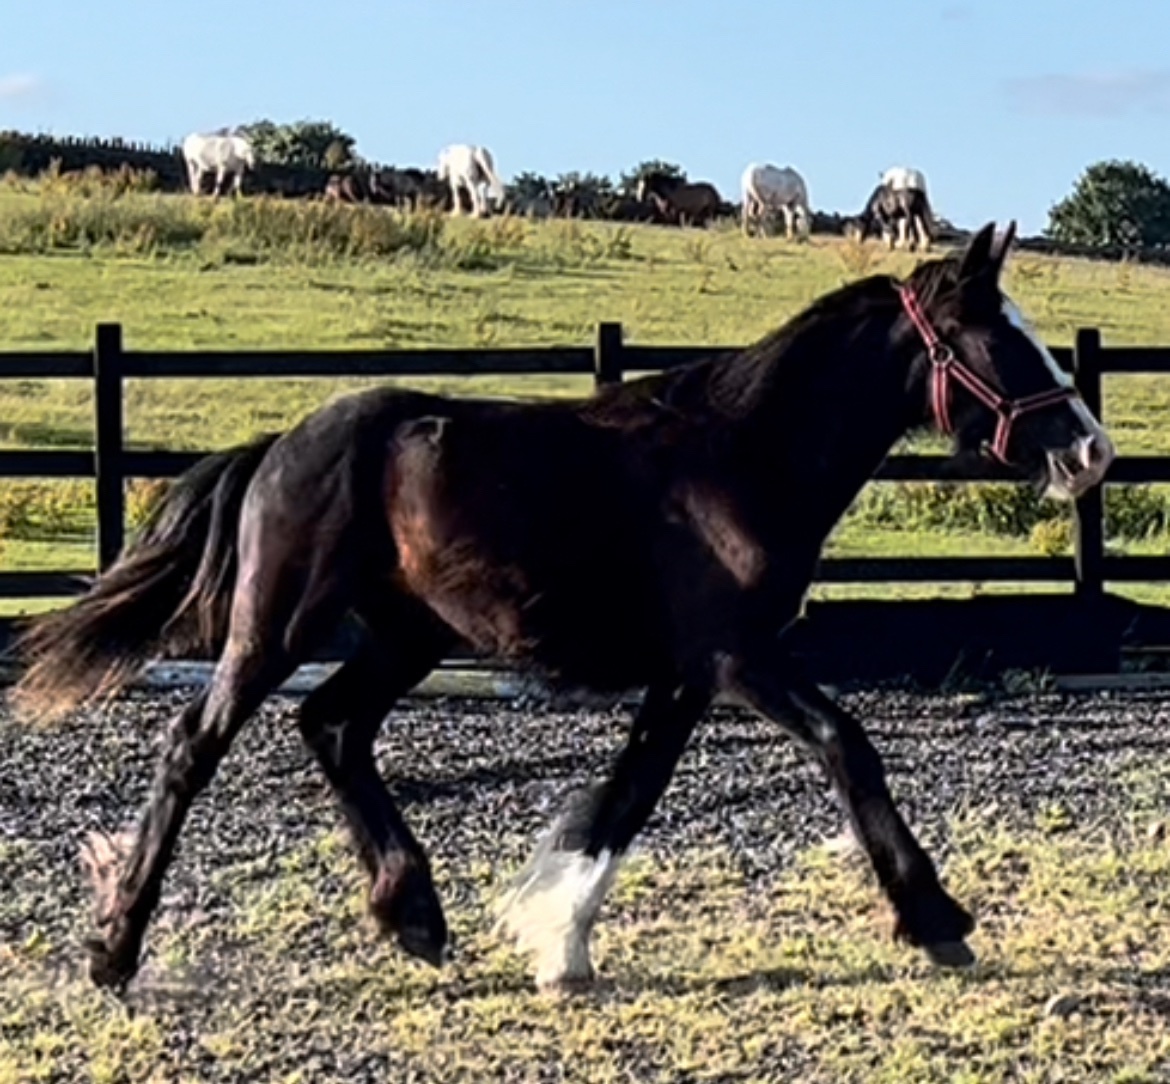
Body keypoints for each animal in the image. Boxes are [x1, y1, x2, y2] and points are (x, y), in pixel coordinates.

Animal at [11, 223, 1114, 996]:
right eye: (995, 340)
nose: (1089, 451)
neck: (740, 455)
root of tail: (282, 442)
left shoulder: (688, 672)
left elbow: (628, 796)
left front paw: (559, 945)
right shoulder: (736, 656)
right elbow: (847, 745)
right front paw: (936, 918)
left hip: (406, 638)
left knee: (331, 727)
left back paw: (413, 918)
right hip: (274, 630)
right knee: (195, 745)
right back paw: (115, 953)